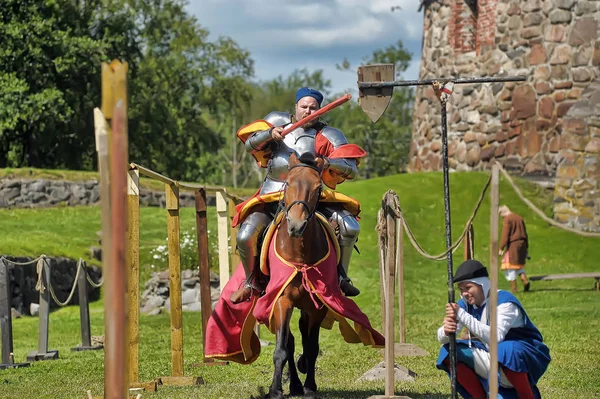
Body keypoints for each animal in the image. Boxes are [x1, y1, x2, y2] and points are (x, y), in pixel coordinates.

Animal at [268, 152, 330, 398]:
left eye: (318, 187)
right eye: (287, 183)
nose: (295, 225)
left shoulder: (318, 306)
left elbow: (312, 347)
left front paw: (310, 386)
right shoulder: (282, 301)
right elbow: (282, 348)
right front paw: (275, 389)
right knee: (291, 341)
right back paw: (293, 385)